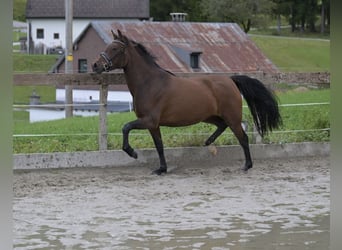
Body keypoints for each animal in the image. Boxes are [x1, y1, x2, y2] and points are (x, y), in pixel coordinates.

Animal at [92, 29, 282, 175]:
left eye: (115, 48)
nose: (95, 66)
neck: (149, 83)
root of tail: (231, 80)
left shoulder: (149, 121)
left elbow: (126, 127)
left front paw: (132, 153)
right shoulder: (153, 125)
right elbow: (159, 146)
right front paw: (161, 169)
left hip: (232, 117)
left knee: (243, 138)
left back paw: (246, 166)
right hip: (209, 116)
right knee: (222, 126)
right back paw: (208, 142)